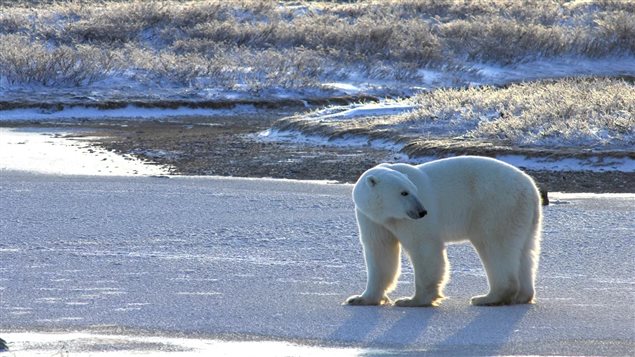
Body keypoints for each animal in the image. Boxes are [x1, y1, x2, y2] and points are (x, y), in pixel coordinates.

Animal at [346, 156, 544, 306]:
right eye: (404, 193)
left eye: (414, 190)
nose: (422, 212)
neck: (387, 214)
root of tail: (531, 188)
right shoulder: (372, 219)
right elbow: (380, 252)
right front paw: (361, 299)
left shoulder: (410, 222)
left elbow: (424, 248)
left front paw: (413, 300)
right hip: (523, 215)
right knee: (526, 252)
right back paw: (522, 296)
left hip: (496, 206)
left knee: (495, 246)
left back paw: (488, 297)